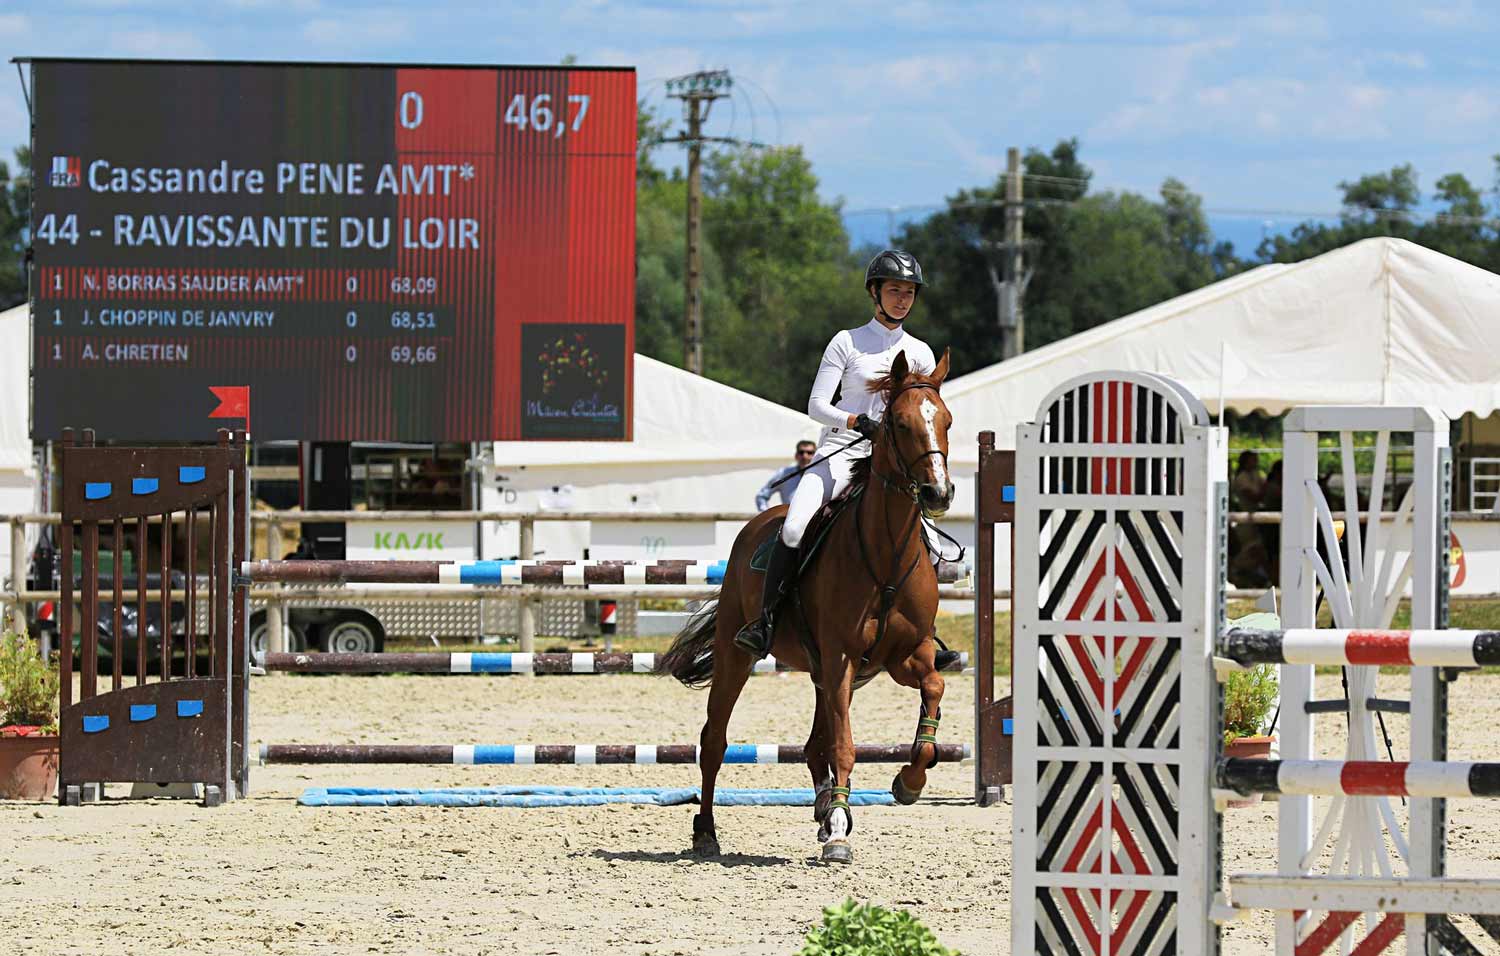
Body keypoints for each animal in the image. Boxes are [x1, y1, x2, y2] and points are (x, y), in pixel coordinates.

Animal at [660, 346, 960, 858]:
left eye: (946, 420)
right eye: (899, 423)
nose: (937, 493)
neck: (886, 555)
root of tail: (759, 523)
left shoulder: (906, 656)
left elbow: (932, 696)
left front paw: (908, 783)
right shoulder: (842, 656)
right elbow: (844, 744)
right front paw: (839, 832)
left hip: (827, 672)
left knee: (813, 743)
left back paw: (823, 810)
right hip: (738, 657)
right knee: (715, 741)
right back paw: (707, 831)